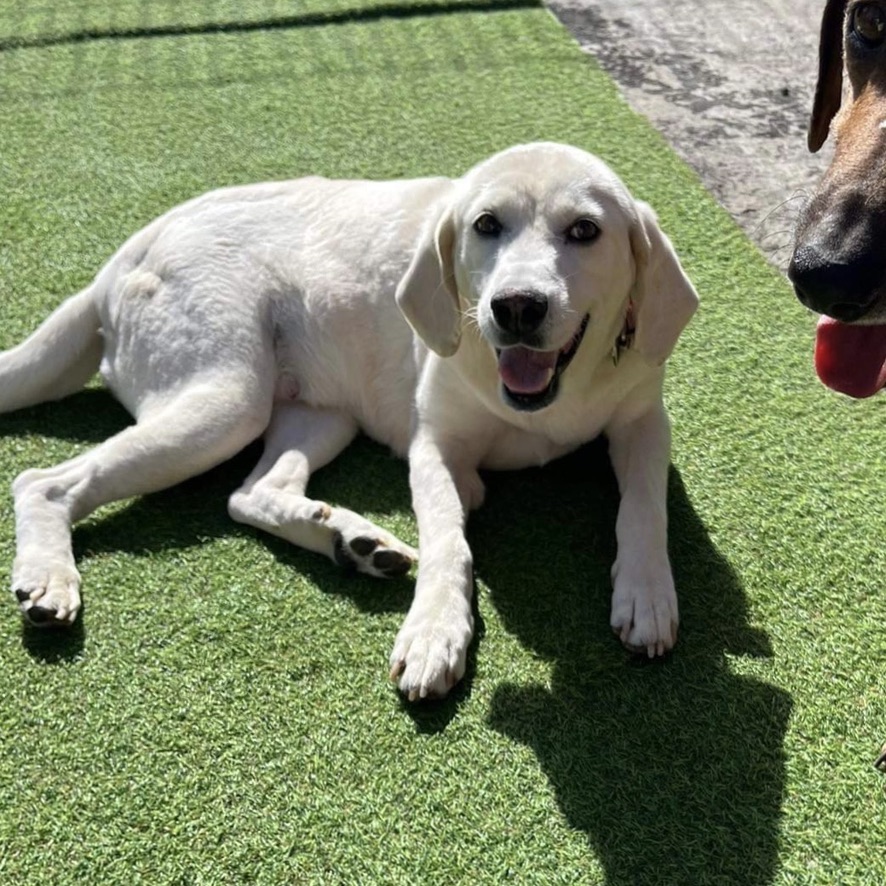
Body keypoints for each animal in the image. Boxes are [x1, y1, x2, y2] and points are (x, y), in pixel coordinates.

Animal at [1, 144, 700, 700]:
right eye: (486, 225)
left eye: (585, 230)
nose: (517, 307)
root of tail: (120, 259)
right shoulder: (433, 449)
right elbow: (449, 539)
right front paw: (435, 631)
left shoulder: (645, 423)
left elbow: (644, 507)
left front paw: (647, 591)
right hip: (228, 398)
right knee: (44, 480)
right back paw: (49, 578)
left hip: (316, 413)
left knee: (248, 493)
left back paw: (349, 538)